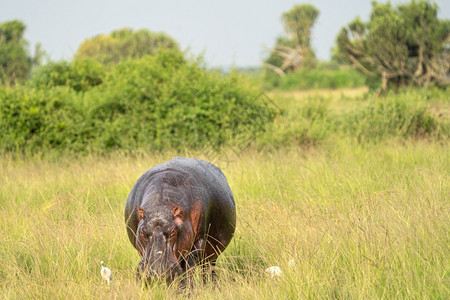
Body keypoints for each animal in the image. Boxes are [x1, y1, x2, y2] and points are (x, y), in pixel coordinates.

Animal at [123, 156, 236, 284]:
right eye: (142, 232)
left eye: (173, 231)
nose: (156, 273)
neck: (160, 206)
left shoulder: (199, 240)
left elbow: (189, 267)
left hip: (211, 253)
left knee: (207, 268)